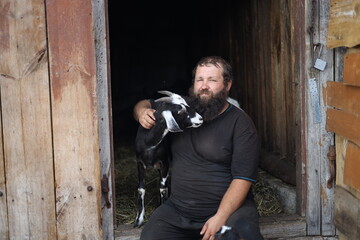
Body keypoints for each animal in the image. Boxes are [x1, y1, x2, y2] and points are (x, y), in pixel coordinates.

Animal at [134, 90, 204, 227]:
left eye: (187, 104)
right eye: (180, 111)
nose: (200, 118)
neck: (150, 143)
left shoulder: (164, 162)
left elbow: (163, 187)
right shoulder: (139, 163)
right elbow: (141, 189)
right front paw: (138, 220)